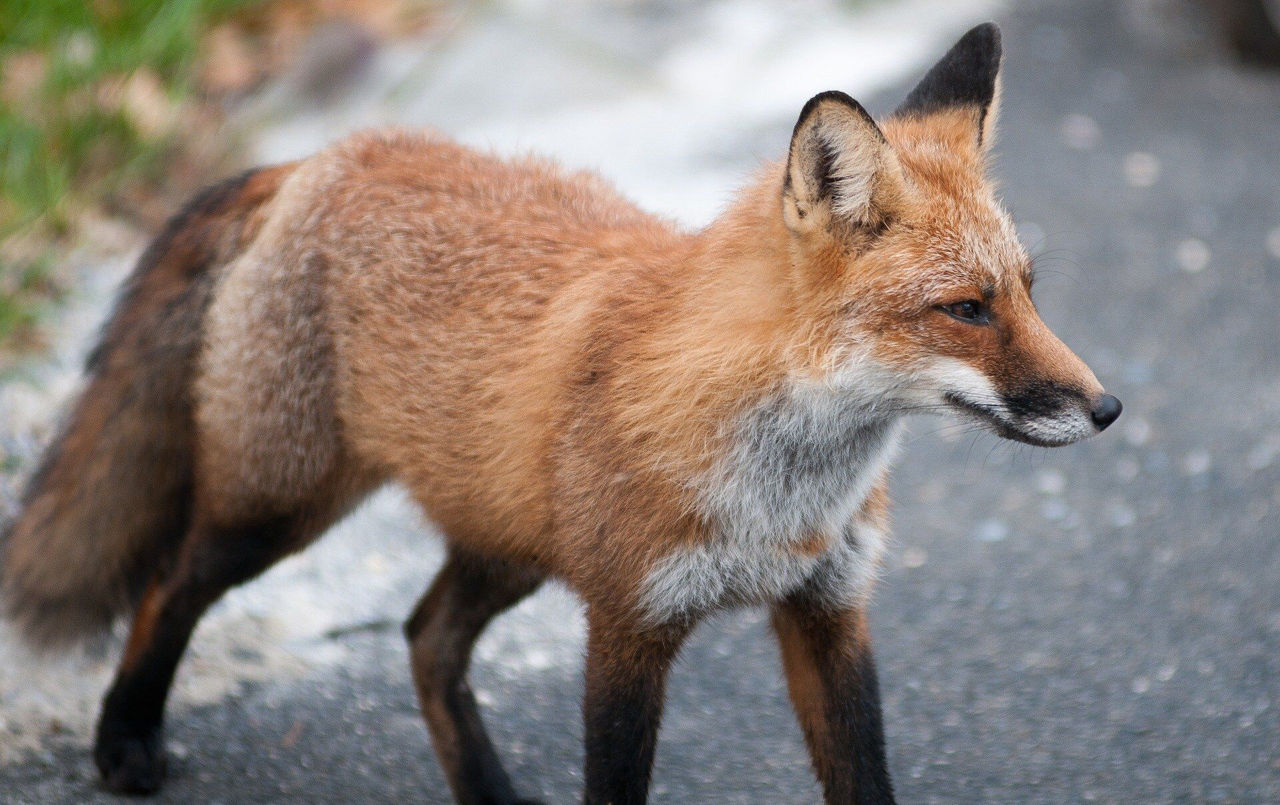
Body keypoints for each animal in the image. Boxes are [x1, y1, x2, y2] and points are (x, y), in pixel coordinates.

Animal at [0, 25, 1116, 803]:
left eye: (1026, 292)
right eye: (964, 309)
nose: (1106, 407)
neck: (780, 495)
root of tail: (325, 155)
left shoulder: (829, 611)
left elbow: (865, 776)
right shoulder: (627, 624)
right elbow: (613, 781)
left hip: (509, 541)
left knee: (424, 636)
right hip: (277, 509)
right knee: (167, 586)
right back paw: (123, 739)